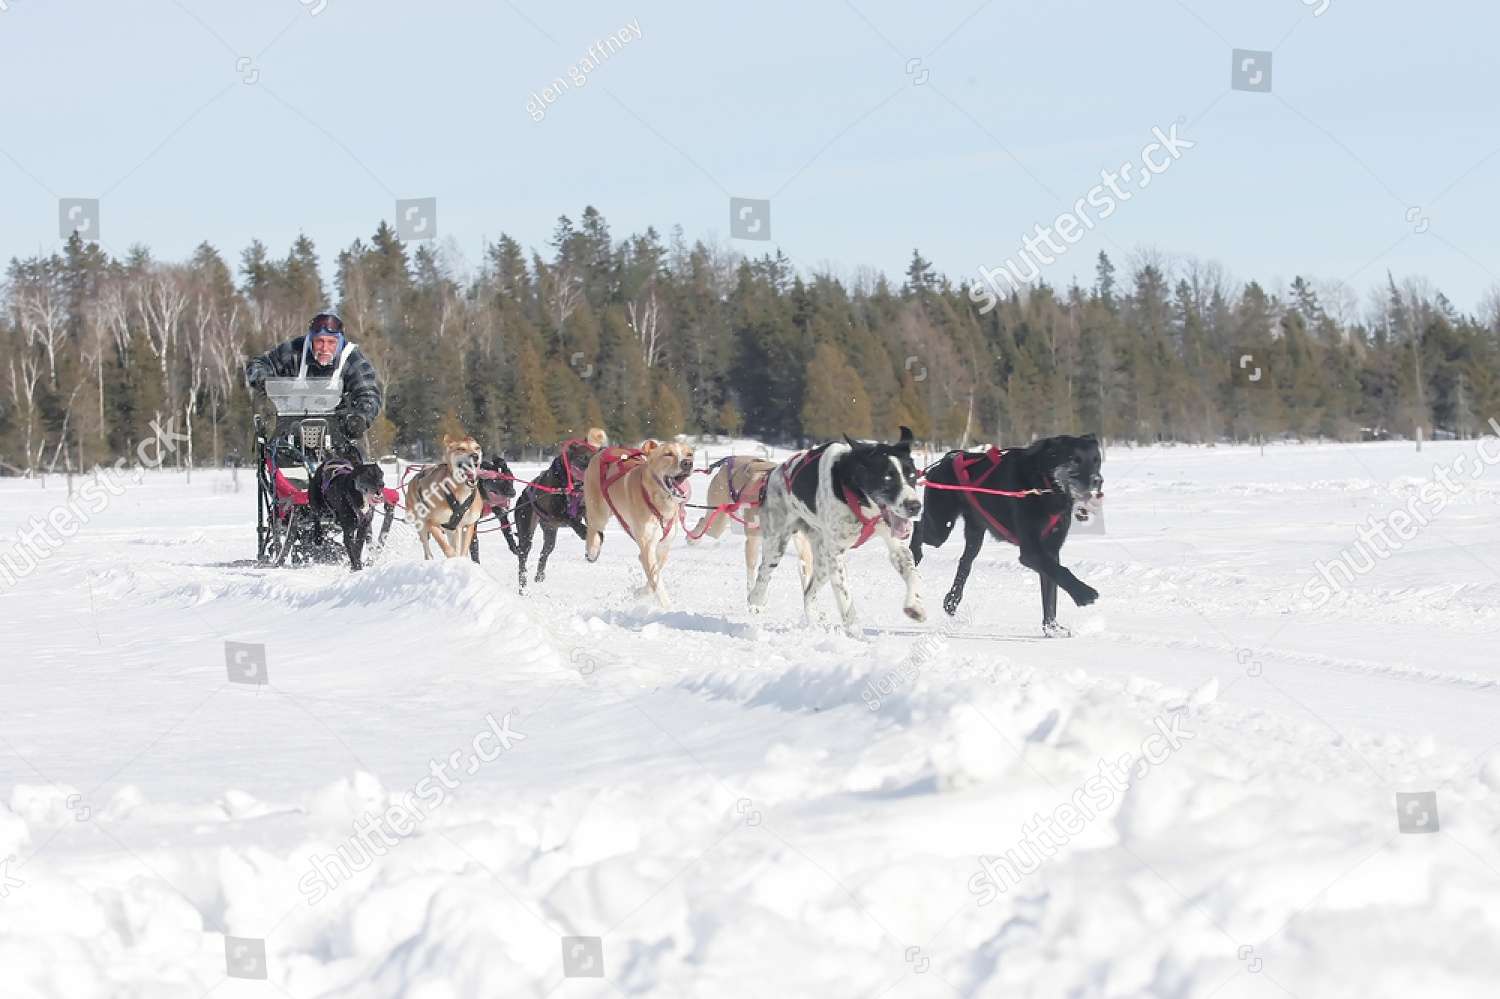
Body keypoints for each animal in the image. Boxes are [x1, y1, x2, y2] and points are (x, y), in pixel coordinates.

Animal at [510, 438, 591, 591]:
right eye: (583, 457)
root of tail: (522, 497)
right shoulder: (556, 514)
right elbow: (571, 518)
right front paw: (583, 531)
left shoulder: (584, 509)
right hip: (526, 532)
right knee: (522, 558)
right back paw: (523, 585)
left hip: (550, 532)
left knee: (544, 552)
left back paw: (539, 575)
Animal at [588, 438, 699, 606]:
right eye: (668, 454)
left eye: (689, 454)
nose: (687, 463)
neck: (659, 502)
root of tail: (603, 450)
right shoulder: (647, 545)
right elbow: (656, 582)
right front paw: (667, 607)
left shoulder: (663, 546)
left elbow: (655, 572)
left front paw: (642, 592)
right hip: (598, 513)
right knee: (592, 529)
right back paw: (592, 549)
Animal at [687, 456, 816, 594]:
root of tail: (726, 463)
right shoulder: (753, 540)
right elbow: (751, 575)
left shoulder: (801, 542)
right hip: (718, 522)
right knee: (704, 521)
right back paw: (692, 539)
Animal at [750, 423, 924, 627]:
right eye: (887, 478)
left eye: (911, 475)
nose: (915, 506)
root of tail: (775, 471)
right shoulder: (837, 556)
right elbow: (846, 601)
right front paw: (855, 631)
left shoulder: (897, 546)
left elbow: (913, 574)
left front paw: (915, 605)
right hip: (777, 545)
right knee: (762, 578)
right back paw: (755, 604)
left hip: (823, 561)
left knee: (808, 593)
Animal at [906, 432, 1110, 633]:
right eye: (1074, 460)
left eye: (1096, 460)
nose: (1098, 480)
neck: (1044, 484)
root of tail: (945, 460)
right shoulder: (1031, 551)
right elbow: (1060, 572)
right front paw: (1083, 593)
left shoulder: (1051, 550)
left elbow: (1050, 591)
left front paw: (1052, 628)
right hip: (940, 528)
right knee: (919, 525)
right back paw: (914, 554)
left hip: (975, 533)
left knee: (964, 563)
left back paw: (952, 600)